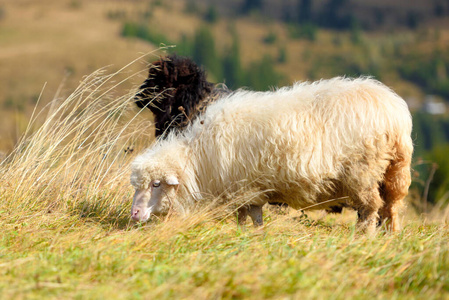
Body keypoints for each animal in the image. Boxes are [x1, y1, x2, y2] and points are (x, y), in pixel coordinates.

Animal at [130, 77, 412, 234]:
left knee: (370, 209)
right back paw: (389, 238)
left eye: (156, 184)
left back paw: (365, 238)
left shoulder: (245, 188)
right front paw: (251, 236)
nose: (134, 214)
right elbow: (251, 218)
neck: (199, 158)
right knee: (390, 209)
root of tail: (394, 111)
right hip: (392, 172)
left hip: (363, 172)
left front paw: (248, 236)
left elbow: (248, 217)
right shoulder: (248, 190)